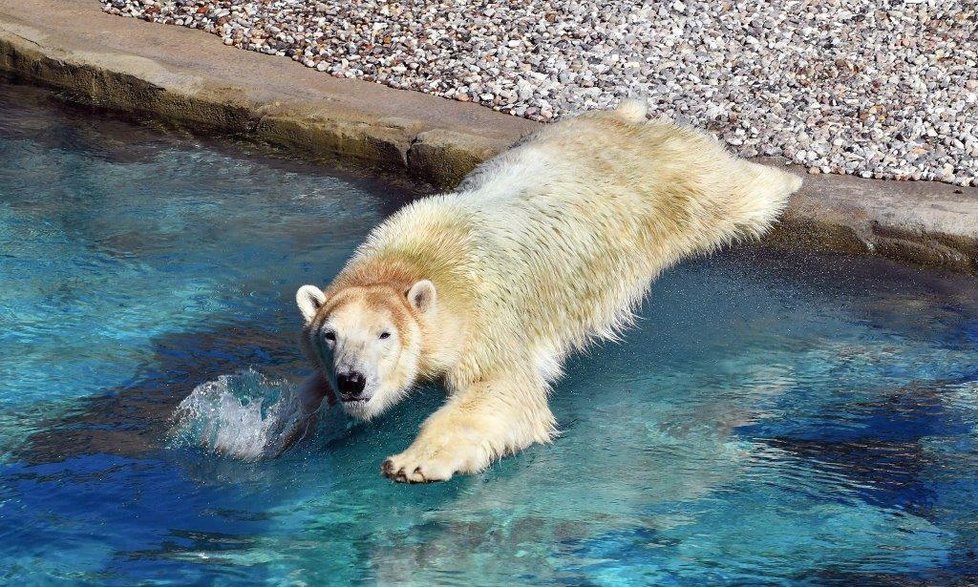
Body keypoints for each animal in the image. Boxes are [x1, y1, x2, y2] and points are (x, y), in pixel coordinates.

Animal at [296, 101, 800, 484]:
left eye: (385, 335)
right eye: (330, 336)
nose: (352, 380)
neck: (412, 262)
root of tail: (621, 116)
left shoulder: (486, 314)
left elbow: (501, 393)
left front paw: (414, 463)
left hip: (667, 180)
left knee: (729, 190)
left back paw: (786, 179)